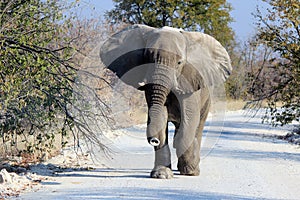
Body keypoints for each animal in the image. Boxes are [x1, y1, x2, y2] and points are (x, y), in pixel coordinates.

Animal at [99, 24, 231, 179]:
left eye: (179, 63)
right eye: (147, 58)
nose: (153, 140)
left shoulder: (190, 83)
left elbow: (189, 119)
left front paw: (187, 170)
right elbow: (160, 117)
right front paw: (161, 175)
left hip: (207, 100)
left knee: (198, 126)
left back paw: (192, 171)